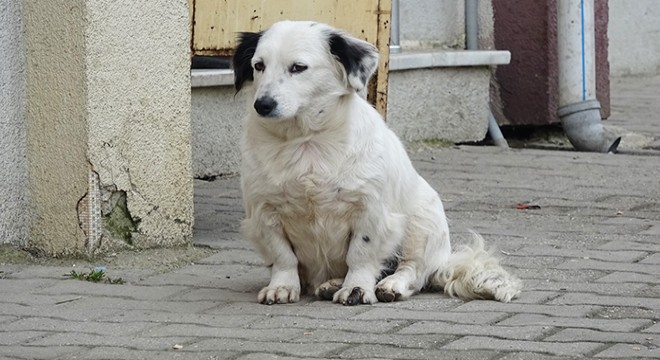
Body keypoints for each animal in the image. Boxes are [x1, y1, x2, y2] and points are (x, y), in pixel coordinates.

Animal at [232, 21, 520, 306]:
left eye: (298, 67)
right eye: (259, 65)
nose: (263, 104)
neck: (306, 141)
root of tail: (443, 261)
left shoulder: (370, 211)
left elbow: (360, 255)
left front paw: (356, 288)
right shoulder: (264, 213)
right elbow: (283, 257)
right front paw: (281, 286)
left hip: (422, 223)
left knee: (413, 271)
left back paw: (391, 284)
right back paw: (331, 283)